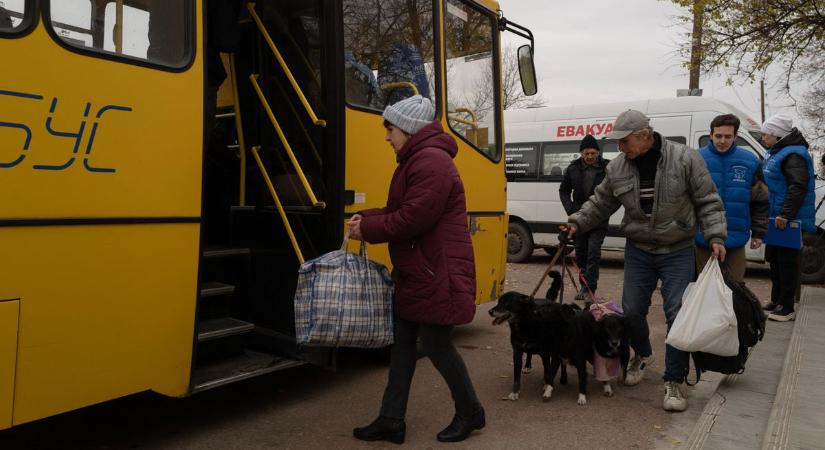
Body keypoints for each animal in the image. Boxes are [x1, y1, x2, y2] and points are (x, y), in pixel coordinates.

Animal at [490, 270, 568, 400]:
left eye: (506, 303)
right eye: (499, 301)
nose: (490, 311)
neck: (524, 324)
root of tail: (548, 300)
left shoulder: (545, 354)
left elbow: (547, 373)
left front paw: (546, 386)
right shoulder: (517, 352)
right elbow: (516, 377)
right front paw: (515, 392)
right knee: (529, 354)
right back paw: (527, 365)